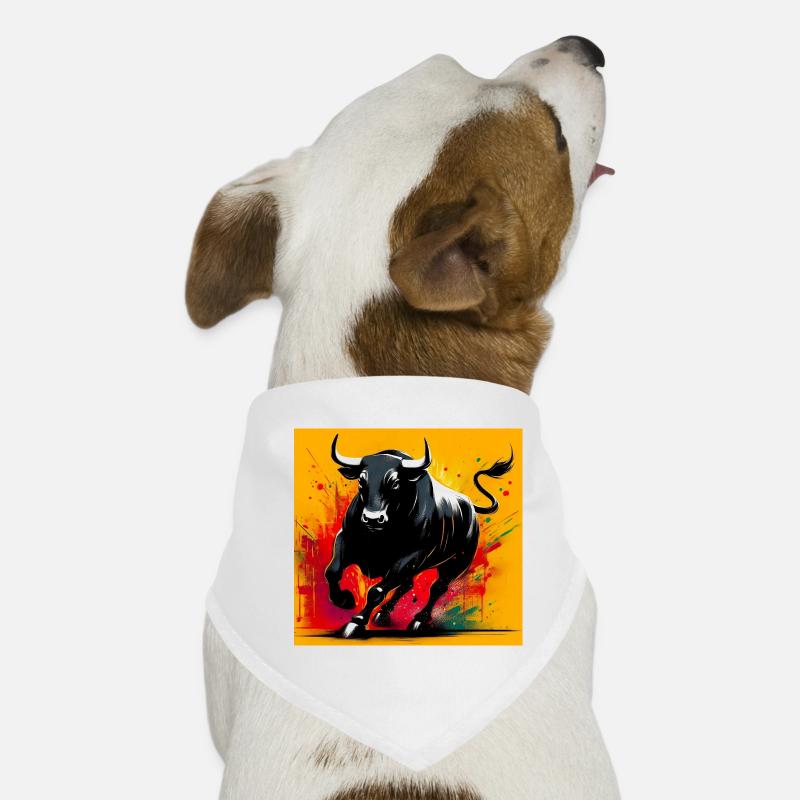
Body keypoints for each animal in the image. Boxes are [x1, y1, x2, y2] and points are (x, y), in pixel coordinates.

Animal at [325, 434, 514, 638]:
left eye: (395, 483)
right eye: (361, 481)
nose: (373, 519)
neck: (379, 537)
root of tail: (470, 506)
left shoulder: (410, 558)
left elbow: (376, 591)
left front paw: (356, 622)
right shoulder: (345, 538)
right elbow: (332, 571)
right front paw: (344, 599)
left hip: (456, 563)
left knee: (437, 588)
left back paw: (418, 620)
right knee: (407, 585)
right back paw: (383, 614)